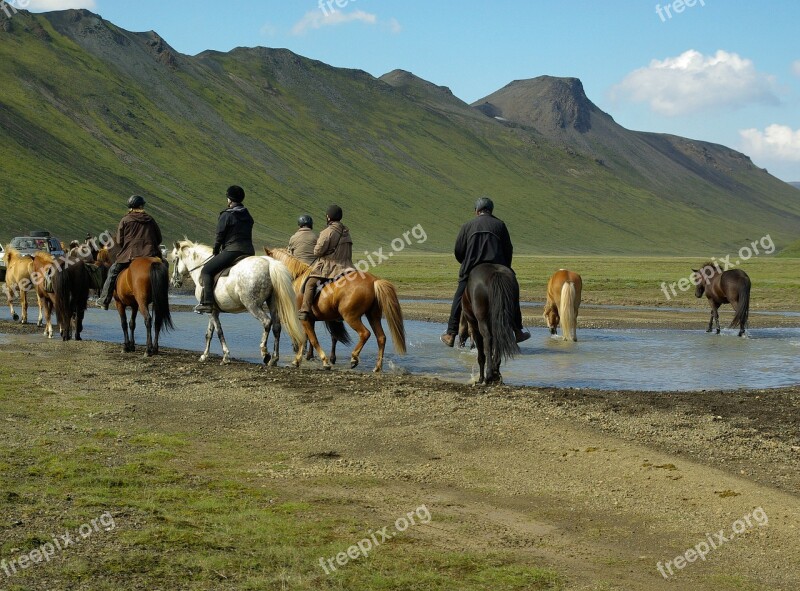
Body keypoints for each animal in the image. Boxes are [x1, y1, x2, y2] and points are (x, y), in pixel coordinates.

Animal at [170, 240, 304, 366]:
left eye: (174, 260)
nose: (173, 282)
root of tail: (270, 264)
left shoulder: (211, 312)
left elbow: (219, 331)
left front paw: (225, 356)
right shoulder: (213, 311)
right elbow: (209, 333)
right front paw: (204, 356)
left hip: (252, 305)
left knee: (267, 322)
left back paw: (265, 353)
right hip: (272, 303)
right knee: (276, 326)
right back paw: (274, 359)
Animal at [266, 247, 406, 372]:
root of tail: (374, 281)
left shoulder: (304, 319)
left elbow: (312, 339)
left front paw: (324, 361)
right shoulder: (309, 319)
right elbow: (306, 339)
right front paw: (297, 361)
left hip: (351, 317)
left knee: (365, 333)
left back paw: (354, 358)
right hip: (373, 316)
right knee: (381, 338)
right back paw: (377, 367)